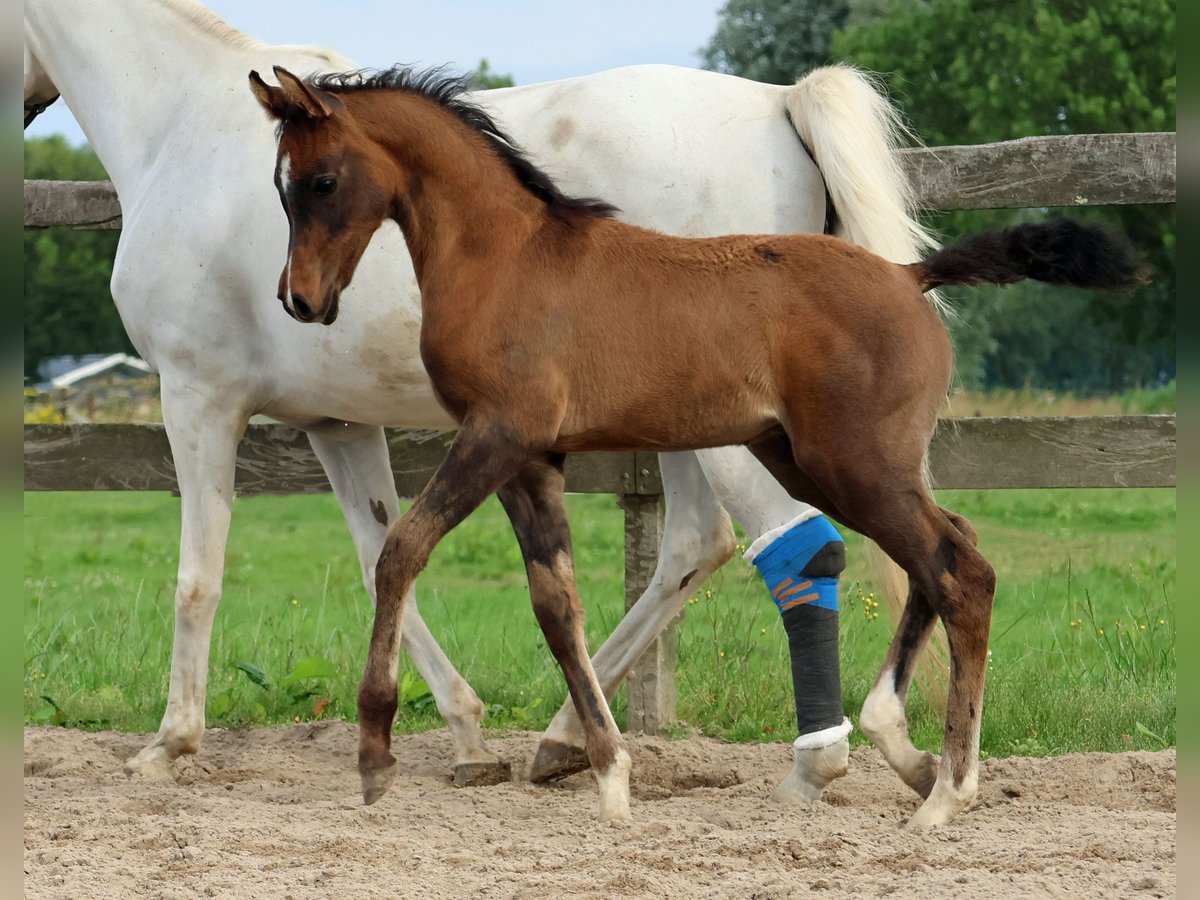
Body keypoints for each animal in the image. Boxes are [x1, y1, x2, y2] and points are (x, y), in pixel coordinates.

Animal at [21, 0, 936, 811]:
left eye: (318, 184)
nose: (301, 300)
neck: (176, 118)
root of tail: (781, 101)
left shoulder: (198, 398)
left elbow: (200, 577)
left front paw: (169, 745)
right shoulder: (337, 425)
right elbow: (382, 556)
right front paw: (463, 738)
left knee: (800, 546)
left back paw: (820, 760)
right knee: (698, 544)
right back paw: (568, 741)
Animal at [248, 61, 1147, 825]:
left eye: (322, 181)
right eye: (279, 188)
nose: (300, 300)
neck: (507, 259)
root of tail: (907, 276)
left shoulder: (496, 434)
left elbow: (401, 549)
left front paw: (375, 757)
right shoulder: (532, 459)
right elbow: (555, 605)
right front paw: (607, 772)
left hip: (855, 463)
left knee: (962, 570)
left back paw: (947, 792)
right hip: (816, 461)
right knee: (944, 552)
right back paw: (910, 753)